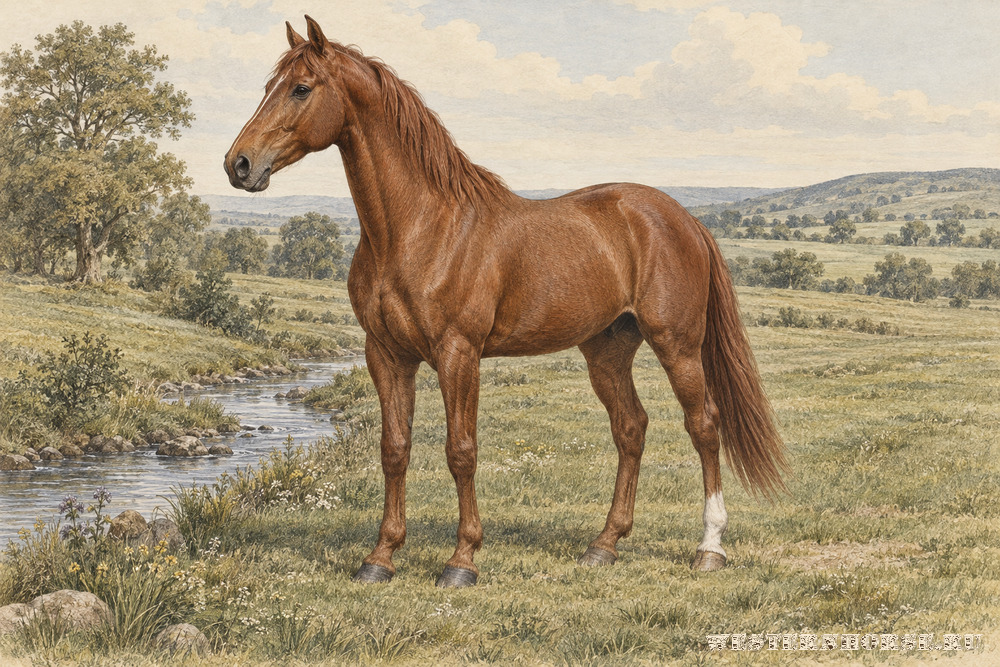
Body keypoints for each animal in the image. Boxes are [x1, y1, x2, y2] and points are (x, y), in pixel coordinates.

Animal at [225, 16, 788, 588]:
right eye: (268, 86)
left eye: (300, 88)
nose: (239, 164)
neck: (421, 228)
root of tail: (685, 218)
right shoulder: (385, 354)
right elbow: (394, 450)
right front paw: (380, 557)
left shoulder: (458, 354)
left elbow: (461, 452)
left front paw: (462, 561)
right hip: (607, 351)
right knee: (631, 428)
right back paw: (604, 544)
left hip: (677, 345)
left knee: (704, 427)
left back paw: (710, 547)